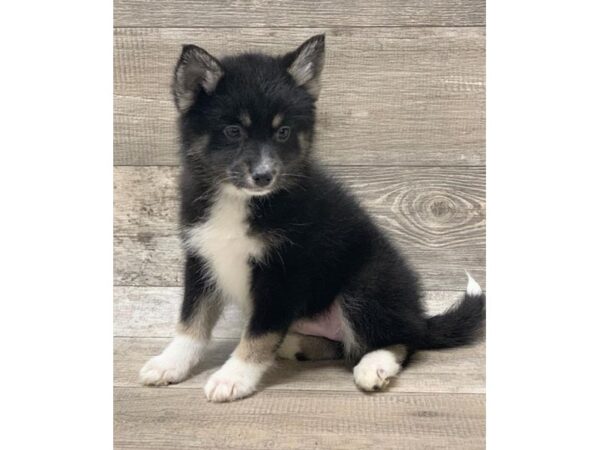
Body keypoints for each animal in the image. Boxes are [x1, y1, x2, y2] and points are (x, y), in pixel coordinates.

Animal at [138, 34, 486, 400]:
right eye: (233, 131)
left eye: (283, 132)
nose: (264, 176)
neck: (240, 200)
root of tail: (419, 317)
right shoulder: (202, 256)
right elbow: (192, 320)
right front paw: (170, 363)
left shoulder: (284, 271)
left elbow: (260, 332)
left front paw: (234, 376)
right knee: (343, 345)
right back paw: (296, 345)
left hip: (366, 285)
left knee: (400, 341)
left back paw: (374, 365)